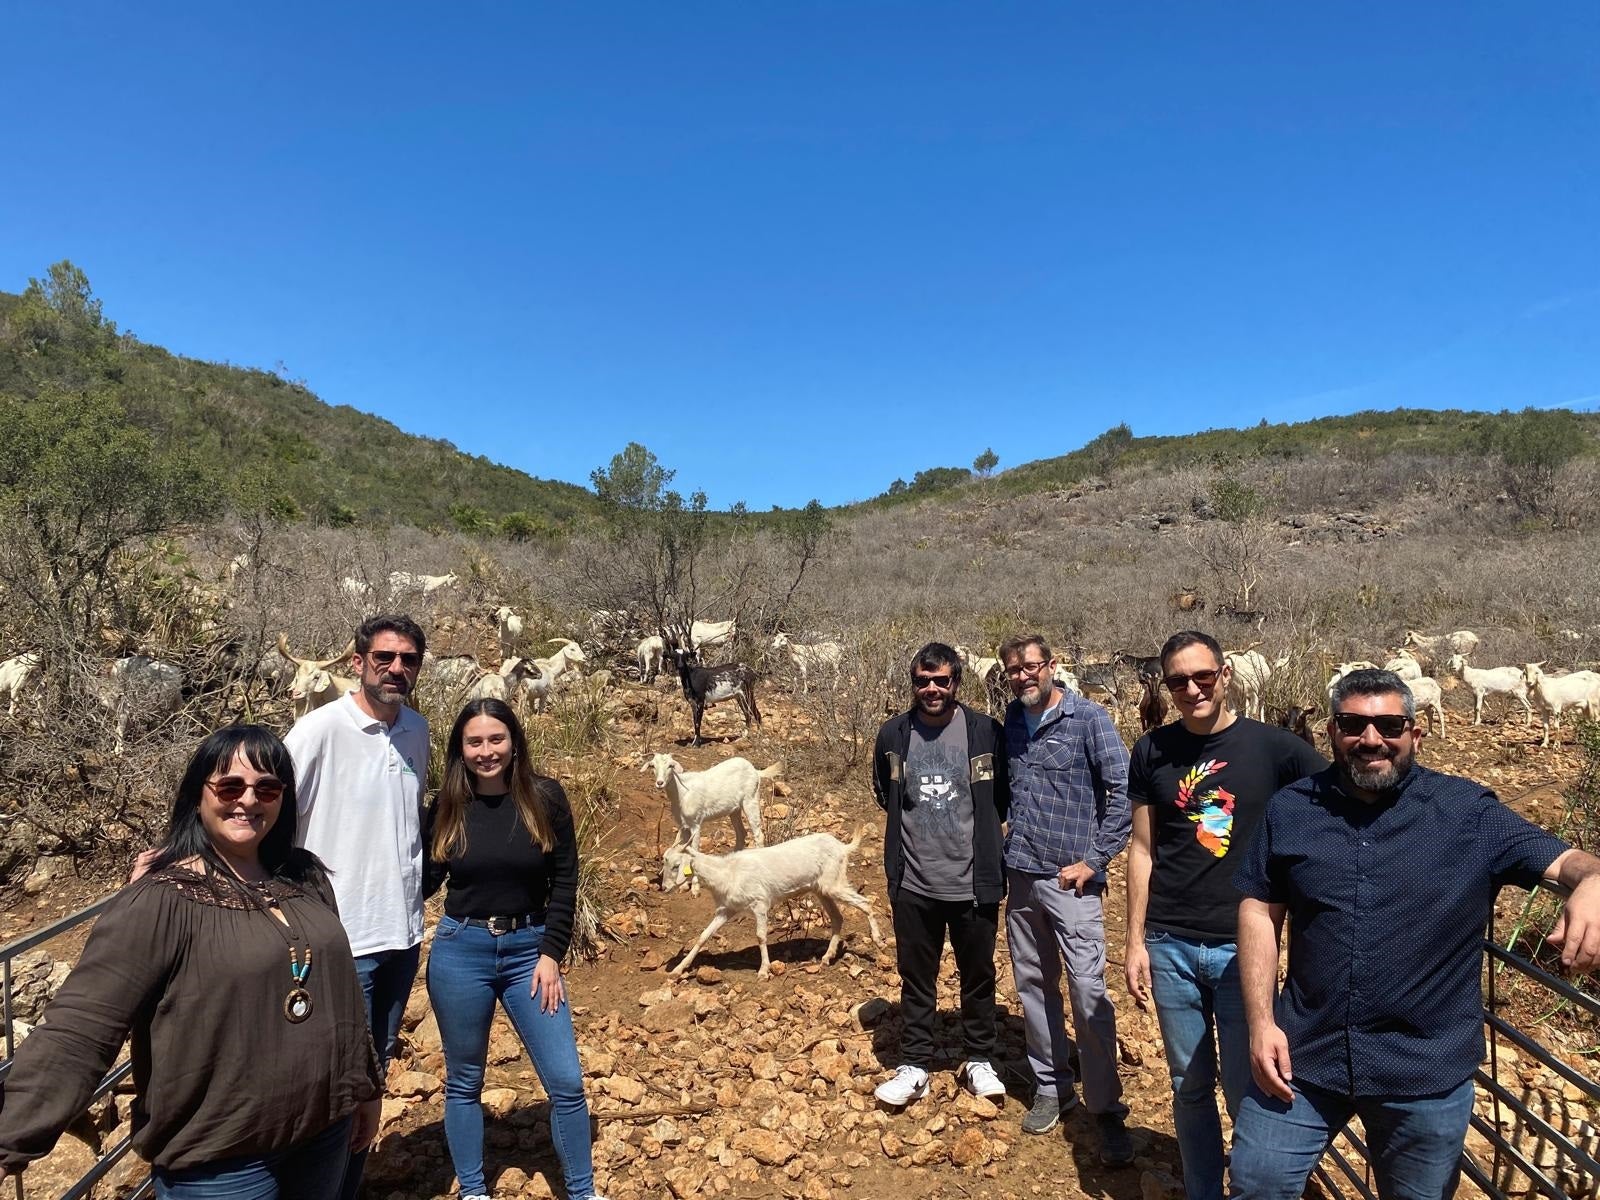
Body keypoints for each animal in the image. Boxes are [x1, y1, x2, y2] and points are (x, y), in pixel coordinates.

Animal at [662, 832, 889, 979]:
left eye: (676, 865)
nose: (664, 888)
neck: (728, 872)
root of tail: (842, 847)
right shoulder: (727, 909)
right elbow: (703, 936)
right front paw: (678, 970)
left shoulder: (759, 903)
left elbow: (761, 936)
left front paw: (764, 970)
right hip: (821, 889)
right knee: (837, 917)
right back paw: (827, 957)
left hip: (834, 884)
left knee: (865, 903)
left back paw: (878, 941)